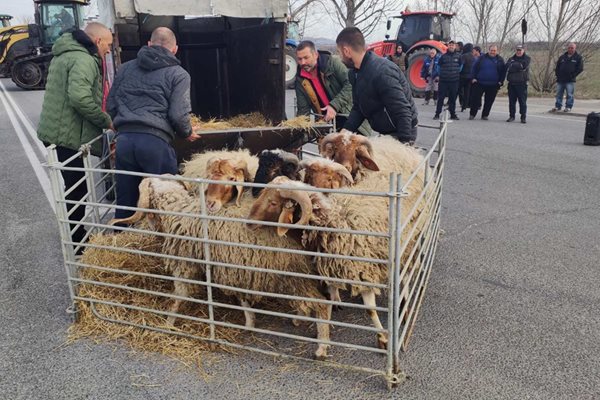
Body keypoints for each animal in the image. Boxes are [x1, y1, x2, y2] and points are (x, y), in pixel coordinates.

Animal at [109, 175, 330, 360]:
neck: (178, 209)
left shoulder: (184, 263)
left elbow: (179, 295)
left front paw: (168, 323)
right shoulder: (235, 268)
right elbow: (242, 299)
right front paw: (250, 322)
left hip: (293, 275)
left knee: (322, 304)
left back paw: (321, 348)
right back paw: (300, 320)